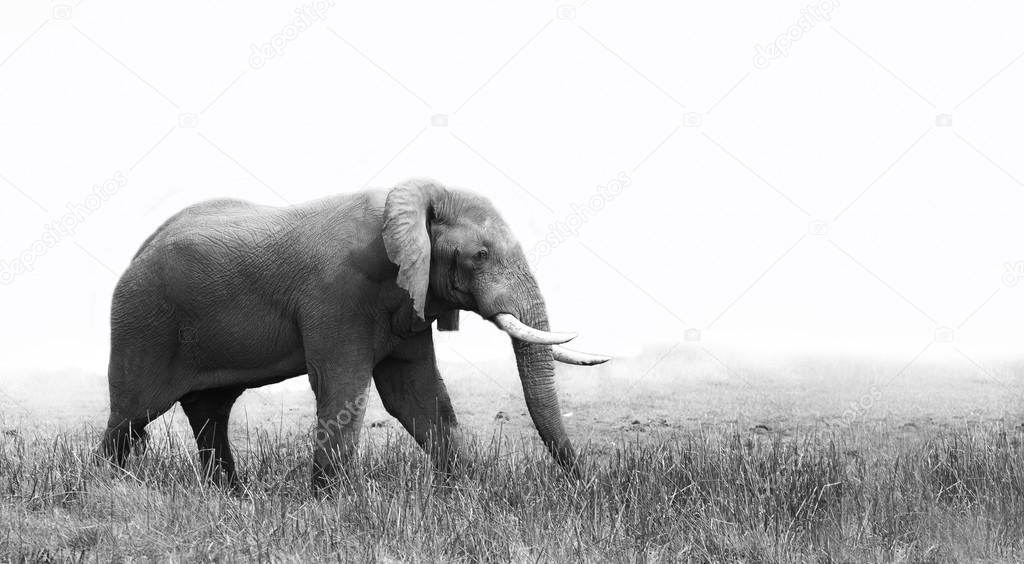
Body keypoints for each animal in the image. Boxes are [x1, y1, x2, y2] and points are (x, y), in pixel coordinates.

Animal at [99, 178, 609, 489]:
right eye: (480, 255)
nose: (584, 484)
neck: (410, 200)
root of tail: (137, 252)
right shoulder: (337, 292)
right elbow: (343, 386)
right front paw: (336, 503)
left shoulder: (410, 296)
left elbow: (414, 394)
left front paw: (462, 491)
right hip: (142, 322)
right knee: (132, 416)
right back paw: (106, 487)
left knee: (210, 412)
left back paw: (231, 497)